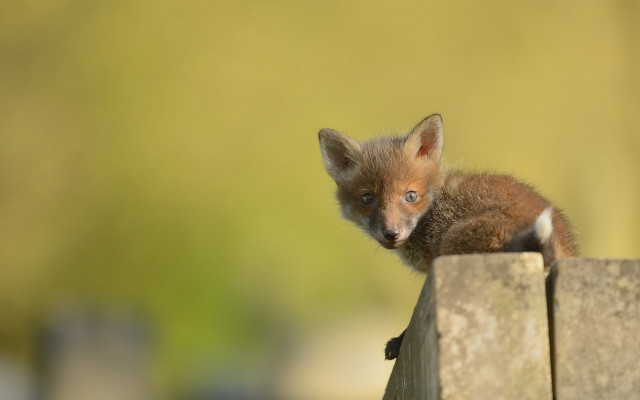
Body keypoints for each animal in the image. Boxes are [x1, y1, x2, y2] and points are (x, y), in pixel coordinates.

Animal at [318, 114, 577, 360]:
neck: (434, 205)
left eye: (410, 195)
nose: (391, 233)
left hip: (454, 244)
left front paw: (399, 340)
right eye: (367, 198)